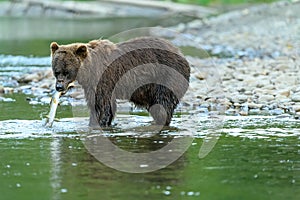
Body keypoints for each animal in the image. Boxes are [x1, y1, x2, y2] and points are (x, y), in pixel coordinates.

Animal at [49, 37, 190, 127]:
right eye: (56, 71)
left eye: (67, 72)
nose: (59, 87)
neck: (89, 70)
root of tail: (182, 55)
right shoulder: (93, 84)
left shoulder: (103, 79)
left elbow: (101, 105)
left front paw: (97, 123)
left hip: (166, 77)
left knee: (162, 105)